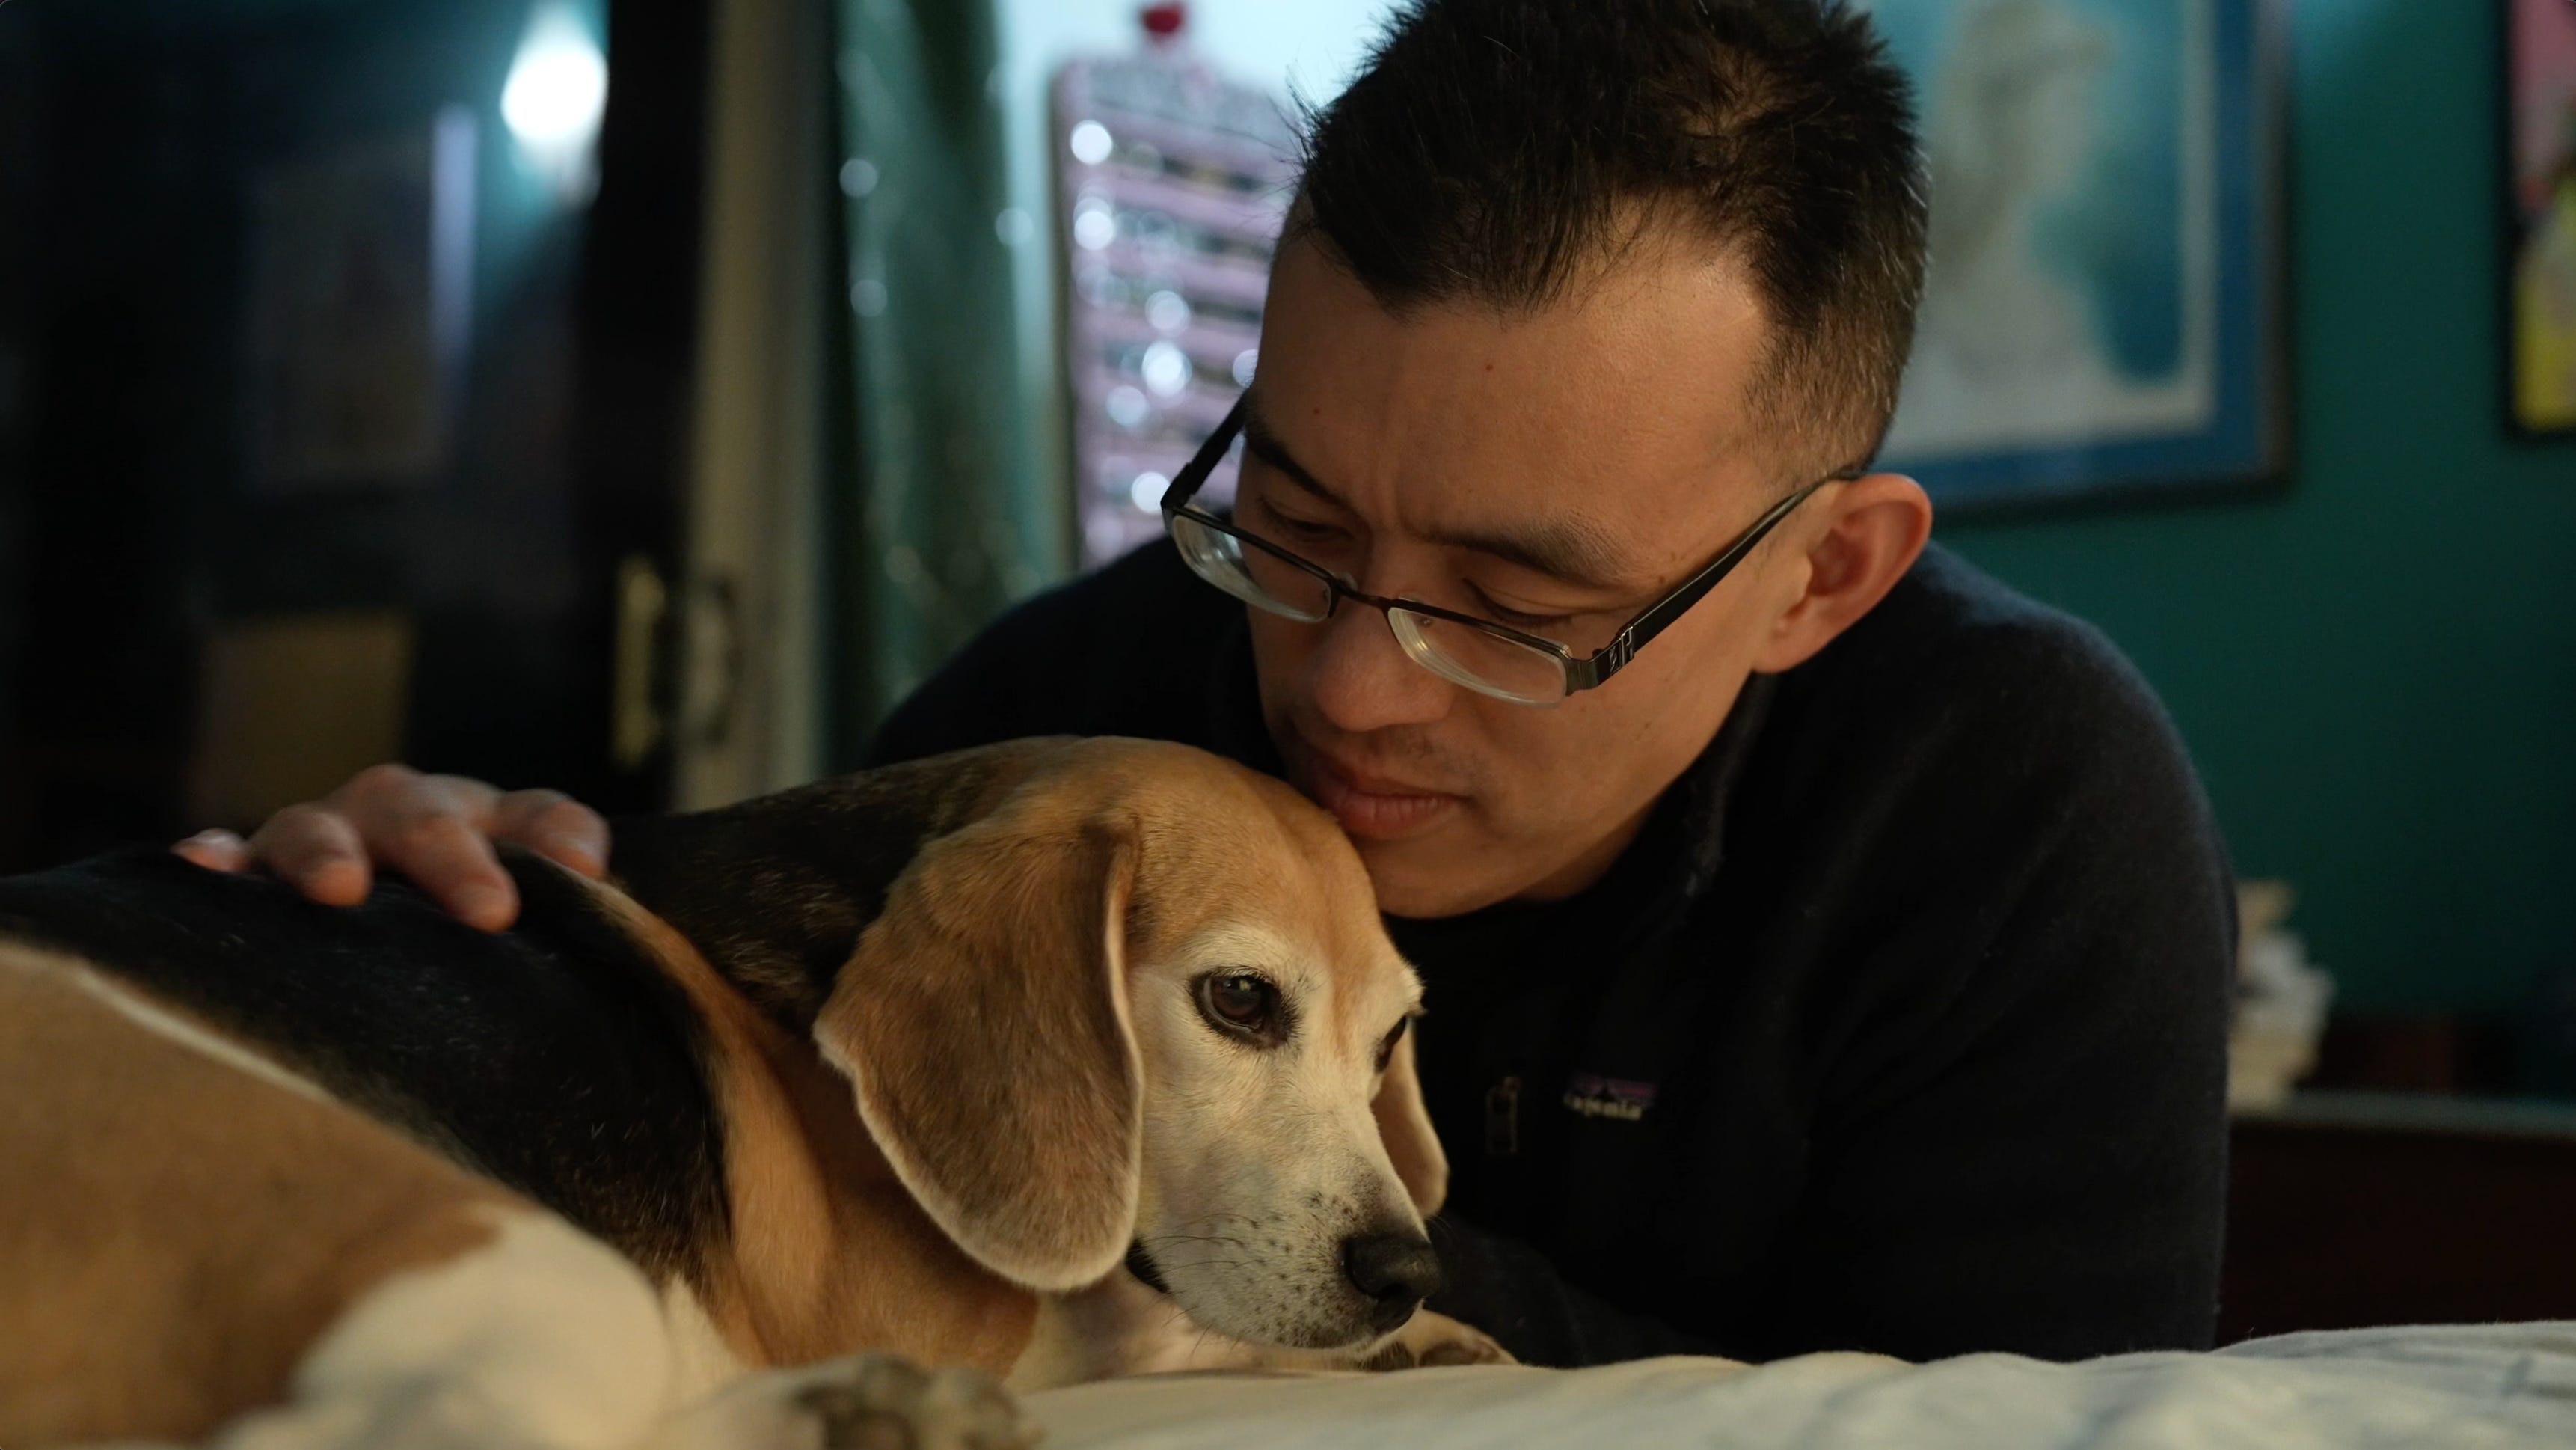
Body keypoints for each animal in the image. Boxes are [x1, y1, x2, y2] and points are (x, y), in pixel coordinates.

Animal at [0, 737, 1506, 1450]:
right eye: (1239, 999)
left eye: (1390, 1040)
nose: (1402, 1268)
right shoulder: (973, 1311)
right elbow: (1162, 1323)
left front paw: (1430, 1334)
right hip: (494, 1248)